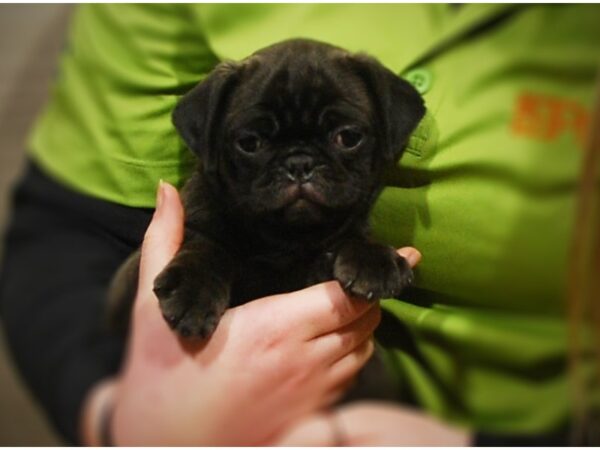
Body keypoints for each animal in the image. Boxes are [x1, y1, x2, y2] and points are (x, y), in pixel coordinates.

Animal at [109, 39, 426, 342]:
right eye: (250, 143)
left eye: (348, 137)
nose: (299, 163)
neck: (283, 240)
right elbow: (204, 244)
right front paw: (192, 287)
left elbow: (353, 235)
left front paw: (373, 258)